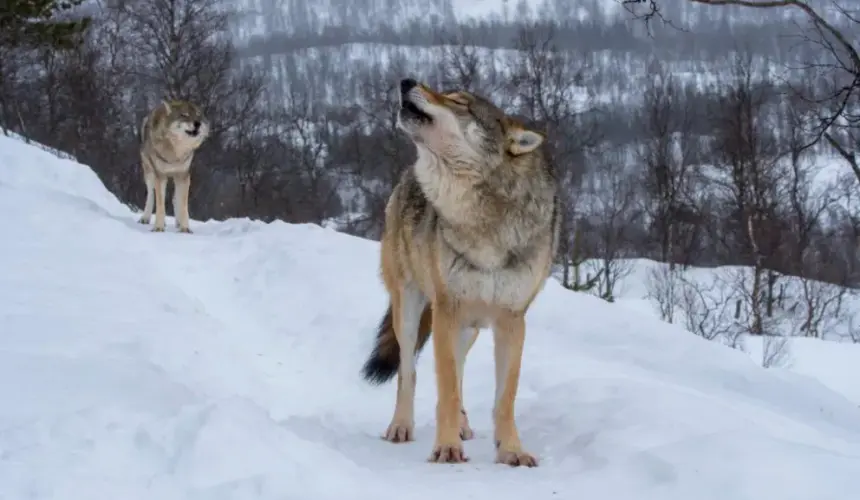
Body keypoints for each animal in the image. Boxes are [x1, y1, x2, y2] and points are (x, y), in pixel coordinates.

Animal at [139, 101, 212, 234]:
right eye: (184, 115)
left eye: (198, 115)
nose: (197, 123)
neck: (175, 153)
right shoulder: (160, 175)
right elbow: (160, 204)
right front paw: (158, 227)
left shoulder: (183, 175)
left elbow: (183, 204)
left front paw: (185, 228)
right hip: (149, 173)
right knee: (151, 195)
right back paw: (145, 218)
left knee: (175, 198)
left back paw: (178, 223)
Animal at [360, 77, 560, 464]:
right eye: (449, 95)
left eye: (459, 103)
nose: (406, 80)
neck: (481, 219)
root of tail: (407, 175)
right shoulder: (446, 310)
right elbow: (446, 388)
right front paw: (447, 447)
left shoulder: (512, 319)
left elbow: (504, 398)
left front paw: (511, 450)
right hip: (412, 312)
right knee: (409, 372)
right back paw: (401, 427)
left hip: (469, 327)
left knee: (460, 370)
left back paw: (464, 426)